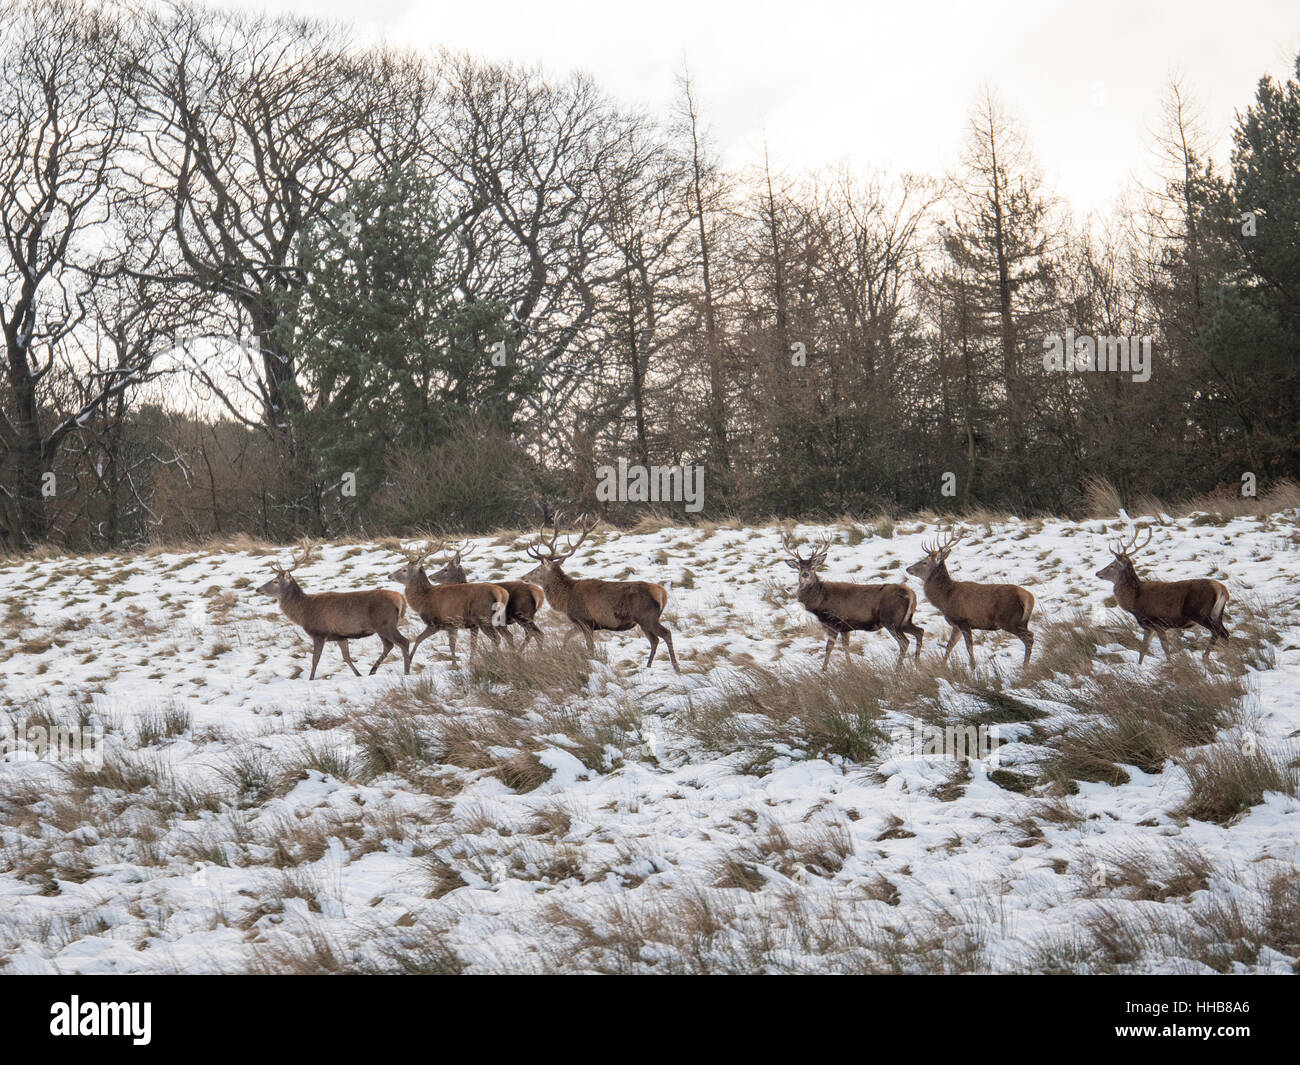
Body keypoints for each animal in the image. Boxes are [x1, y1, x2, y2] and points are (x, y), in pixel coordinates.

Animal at [256, 540, 408, 681]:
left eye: (275, 581)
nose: (258, 589)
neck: (303, 612)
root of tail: (401, 598)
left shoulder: (319, 632)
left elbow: (315, 660)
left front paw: (311, 679)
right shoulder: (340, 636)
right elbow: (346, 657)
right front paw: (358, 674)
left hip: (385, 623)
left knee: (403, 642)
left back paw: (406, 672)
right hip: (381, 627)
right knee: (389, 645)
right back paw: (372, 670)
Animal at [520, 512, 681, 670]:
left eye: (538, 568)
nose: (523, 577)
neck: (566, 599)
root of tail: (663, 593)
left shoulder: (585, 620)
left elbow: (589, 646)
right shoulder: (582, 624)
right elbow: (567, 636)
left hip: (647, 616)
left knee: (666, 634)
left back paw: (675, 667)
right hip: (644, 620)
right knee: (654, 640)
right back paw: (648, 666)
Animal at [780, 530, 925, 670]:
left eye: (813, 567)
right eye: (799, 568)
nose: (805, 574)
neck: (820, 600)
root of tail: (911, 594)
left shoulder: (834, 622)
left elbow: (829, 647)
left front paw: (824, 669)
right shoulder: (845, 627)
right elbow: (845, 646)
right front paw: (850, 666)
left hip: (891, 619)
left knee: (904, 642)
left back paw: (897, 670)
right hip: (904, 620)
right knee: (920, 631)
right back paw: (917, 663)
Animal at [904, 527, 1034, 665]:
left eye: (924, 562)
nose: (908, 569)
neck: (944, 599)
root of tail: (1029, 598)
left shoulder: (962, 620)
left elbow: (969, 647)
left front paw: (973, 666)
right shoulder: (956, 626)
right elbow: (949, 646)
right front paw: (943, 665)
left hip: (1010, 620)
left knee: (1029, 637)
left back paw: (1025, 665)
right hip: (1022, 621)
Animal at [1097, 527, 1227, 663]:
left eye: (1112, 565)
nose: (1097, 573)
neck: (1134, 600)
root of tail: (1222, 589)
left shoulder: (1158, 622)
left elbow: (1166, 650)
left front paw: (1170, 664)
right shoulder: (1148, 626)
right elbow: (1143, 650)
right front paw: (1139, 666)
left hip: (1200, 612)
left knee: (1218, 632)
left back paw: (1208, 657)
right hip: (1217, 613)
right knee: (1224, 633)